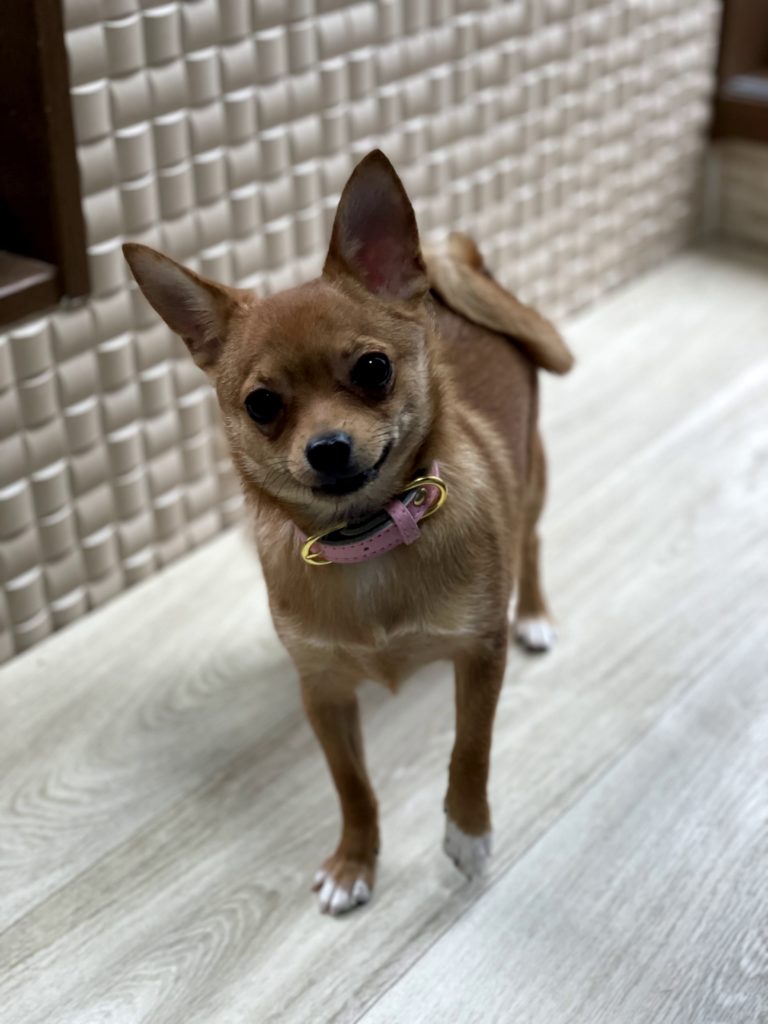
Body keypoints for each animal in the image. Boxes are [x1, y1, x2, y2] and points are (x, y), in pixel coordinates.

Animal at [123, 150, 573, 915]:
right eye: (261, 405)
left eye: (373, 369)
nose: (327, 448)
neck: (368, 537)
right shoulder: (325, 693)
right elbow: (353, 785)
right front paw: (354, 862)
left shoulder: (479, 656)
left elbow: (470, 750)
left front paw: (467, 833)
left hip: (532, 476)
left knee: (531, 541)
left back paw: (536, 613)